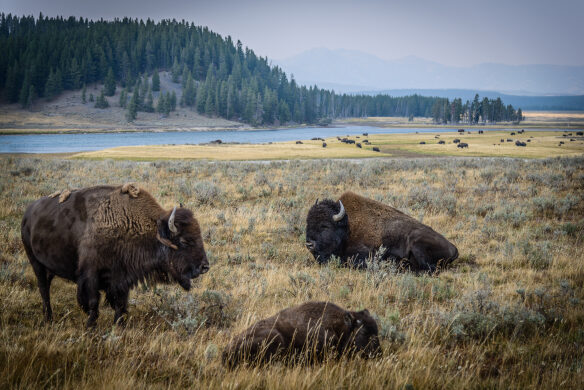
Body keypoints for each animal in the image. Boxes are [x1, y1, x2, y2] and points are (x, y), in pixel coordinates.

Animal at [22, 184, 210, 328]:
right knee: (43, 289)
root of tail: (28, 213)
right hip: (35, 262)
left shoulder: (122, 278)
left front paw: (119, 325)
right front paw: (90, 327)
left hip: (48, 268)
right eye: (184, 241)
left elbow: (120, 304)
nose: (205, 266)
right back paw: (49, 318)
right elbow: (93, 303)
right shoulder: (91, 275)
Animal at [304, 191, 458, 272]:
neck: (347, 227)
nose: (309, 244)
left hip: (417, 243)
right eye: (308, 223)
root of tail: (454, 248)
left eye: (325, 226)